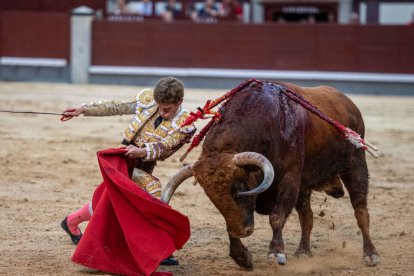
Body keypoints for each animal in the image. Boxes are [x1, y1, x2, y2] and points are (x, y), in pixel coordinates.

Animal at [160, 80, 380, 270]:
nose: (242, 231)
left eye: (240, 186)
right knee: (307, 217)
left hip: (355, 164)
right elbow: (231, 220)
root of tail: (349, 104)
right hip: (306, 185)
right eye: (211, 196)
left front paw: (276, 253)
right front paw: (242, 257)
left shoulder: (290, 179)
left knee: (361, 210)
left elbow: (276, 217)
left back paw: (371, 254)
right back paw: (303, 252)